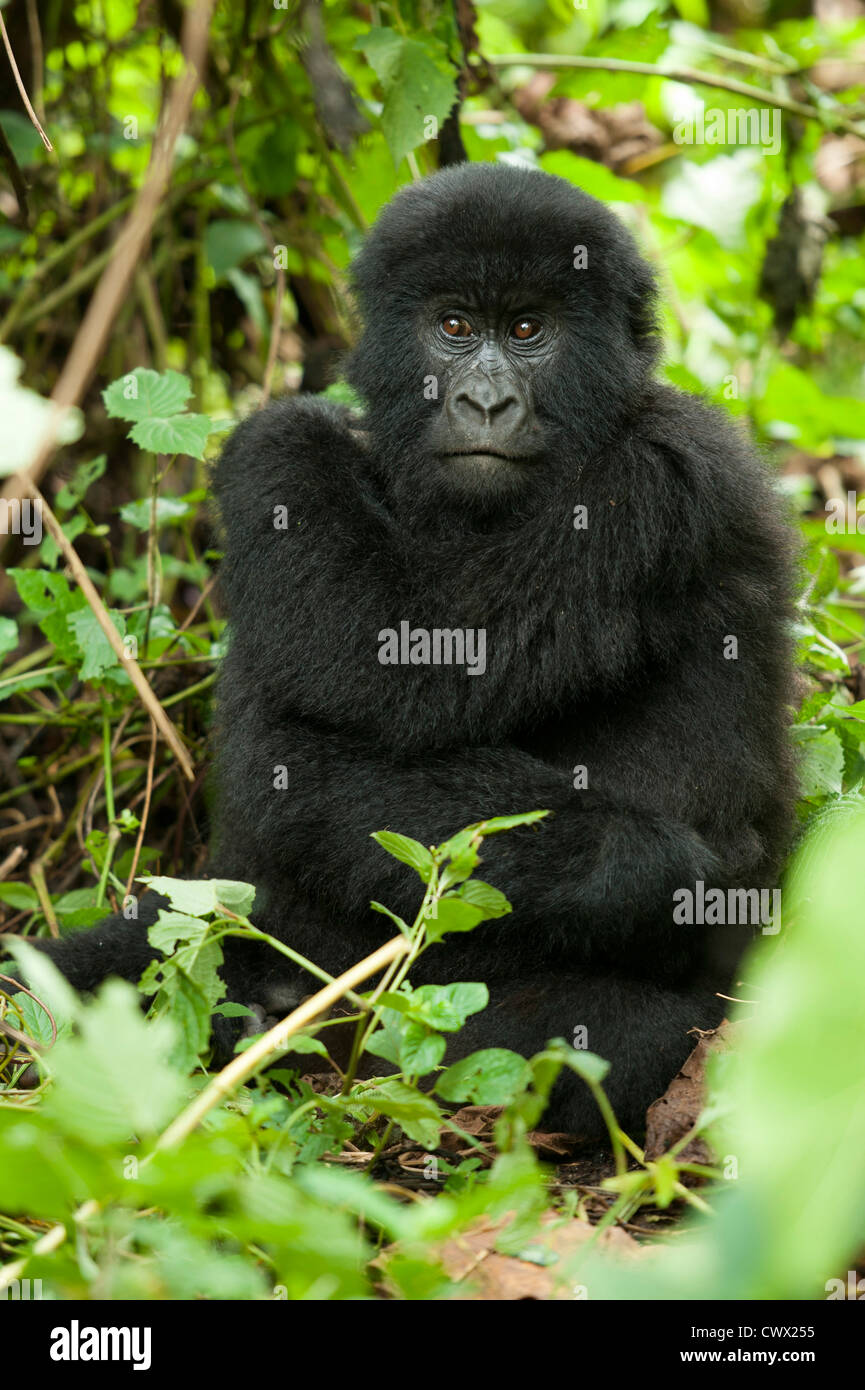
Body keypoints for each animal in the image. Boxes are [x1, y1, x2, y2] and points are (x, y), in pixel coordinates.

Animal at [25, 165, 801, 1139]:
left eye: (527, 331)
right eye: (454, 328)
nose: (484, 403)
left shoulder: (654, 480)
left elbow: (396, 662)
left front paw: (289, 433)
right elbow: (311, 730)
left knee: (622, 1038)